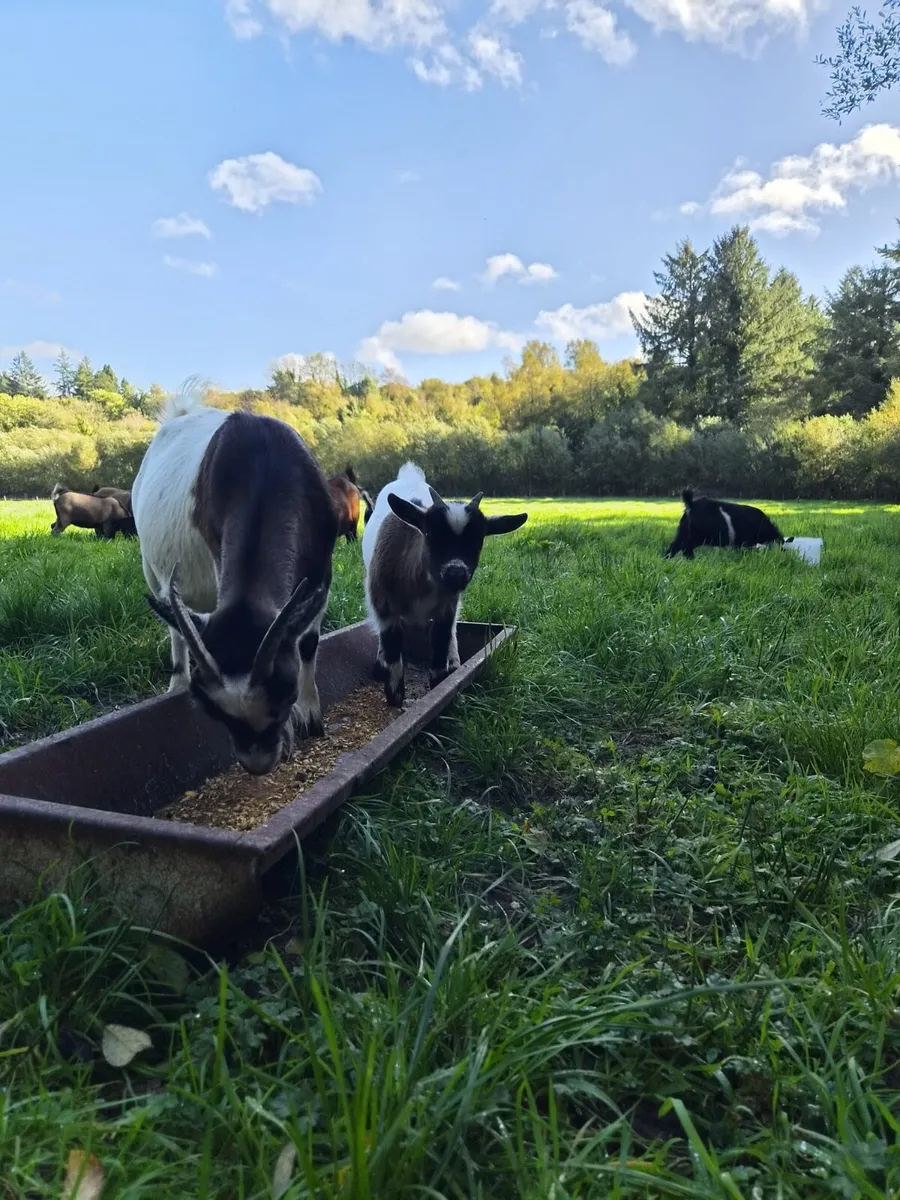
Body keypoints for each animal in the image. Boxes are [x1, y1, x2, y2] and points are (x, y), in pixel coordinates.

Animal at [131, 392, 338, 775]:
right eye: (212, 710)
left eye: (287, 691)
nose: (257, 763)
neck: (264, 464)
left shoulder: (323, 567)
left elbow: (307, 641)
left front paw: (309, 716)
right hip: (150, 565)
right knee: (173, 624)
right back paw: (177, 680)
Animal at [362, 461, 527, 707]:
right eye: (430, 534)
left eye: (479, 540)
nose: (456, 573)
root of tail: (410, 475)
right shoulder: (384, 607)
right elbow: (392, 646)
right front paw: (394, 696)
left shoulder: (447, 607)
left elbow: (441, 640)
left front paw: (439, 687)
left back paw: (454, 661)